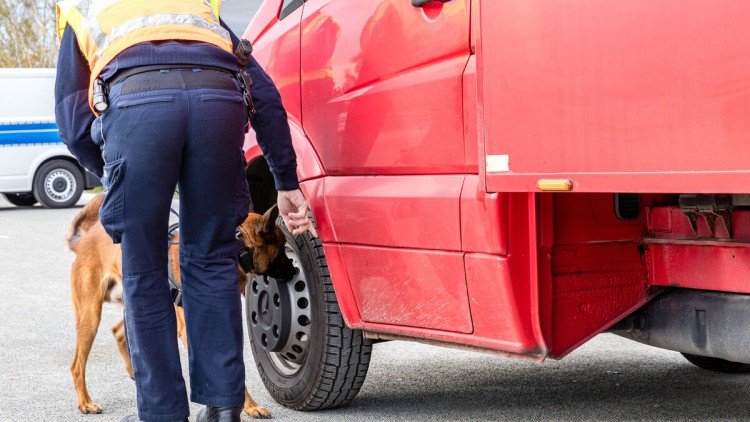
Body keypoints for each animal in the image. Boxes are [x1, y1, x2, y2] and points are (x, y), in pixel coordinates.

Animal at [65, 195, 294, 418]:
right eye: (282, 246)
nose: (293, 270)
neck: (236, 248)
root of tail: (84, 239)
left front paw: (247, 406)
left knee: (120, 332)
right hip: (91, 317)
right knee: (77, 365)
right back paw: (85, 403)